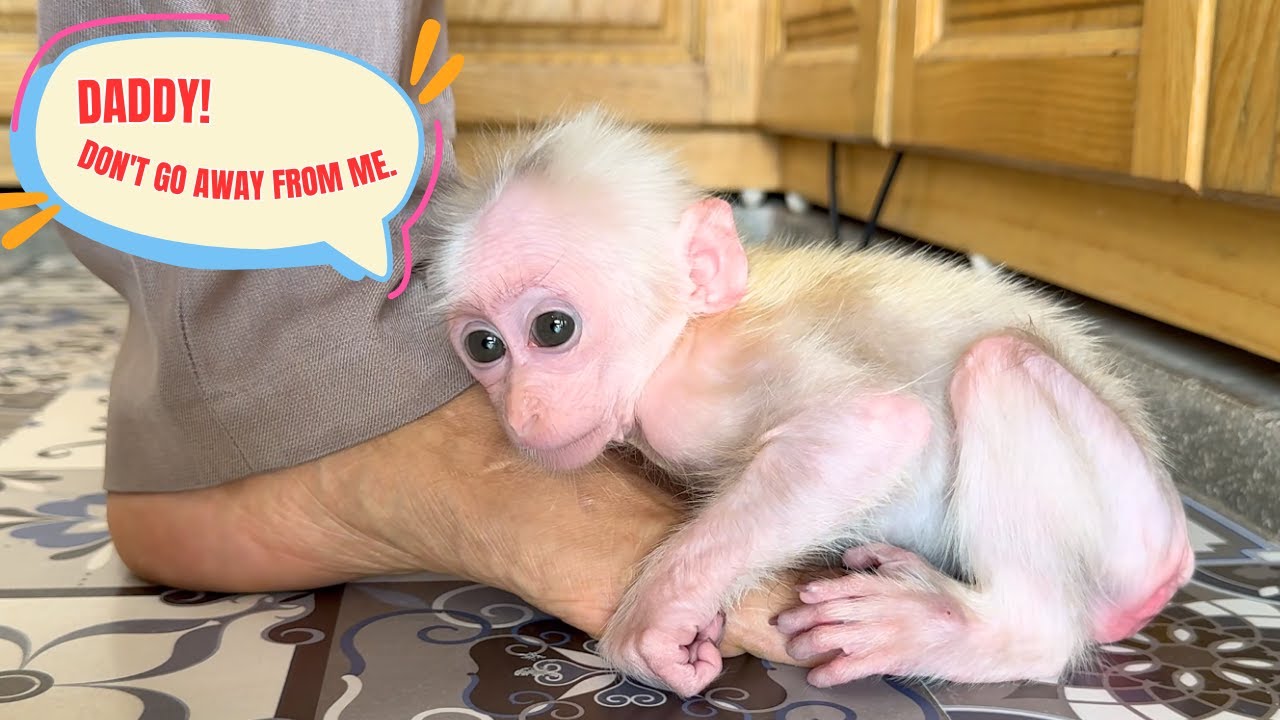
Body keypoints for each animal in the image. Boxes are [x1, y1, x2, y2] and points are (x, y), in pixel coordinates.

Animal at [420, 108, 1196, 698]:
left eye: (553, 330)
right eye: (485, 346)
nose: (523, 410)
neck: (684, 340)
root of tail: (1173, 562)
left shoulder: (695, 399)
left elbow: (868, 428)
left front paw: (659, 611)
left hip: (1131, 527)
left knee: (1000, 366)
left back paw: (1000, 633)